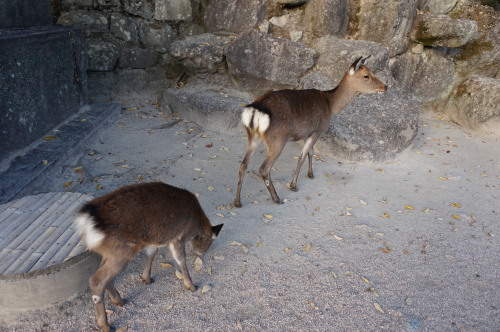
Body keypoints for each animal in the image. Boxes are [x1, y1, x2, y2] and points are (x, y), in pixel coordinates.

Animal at [75, 182, 224, 332]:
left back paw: (119, 300)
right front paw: (192, 286)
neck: (196, 225)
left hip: (111, 251)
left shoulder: (153, 240)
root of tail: (86, 224)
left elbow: (152, 253)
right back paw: (105, 324)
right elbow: (181, 260)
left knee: (103, 275)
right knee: (96, 280)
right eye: (210, 242)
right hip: (124, 250)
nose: (201, 253)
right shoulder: (178, 238)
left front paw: (146, 278)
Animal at [234, 57, 386, 208]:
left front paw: (310, 174)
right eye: (366, 75)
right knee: (264, 168)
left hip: (253, 136)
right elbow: (301, 156)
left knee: (243, 165)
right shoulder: (318, 130)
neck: (330, 105)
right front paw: (293, 185)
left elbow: (311, 152)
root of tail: (255, 110)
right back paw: (277, 198)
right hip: (277, 139)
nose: (385, 86)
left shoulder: (306, 132)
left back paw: (237, 202)